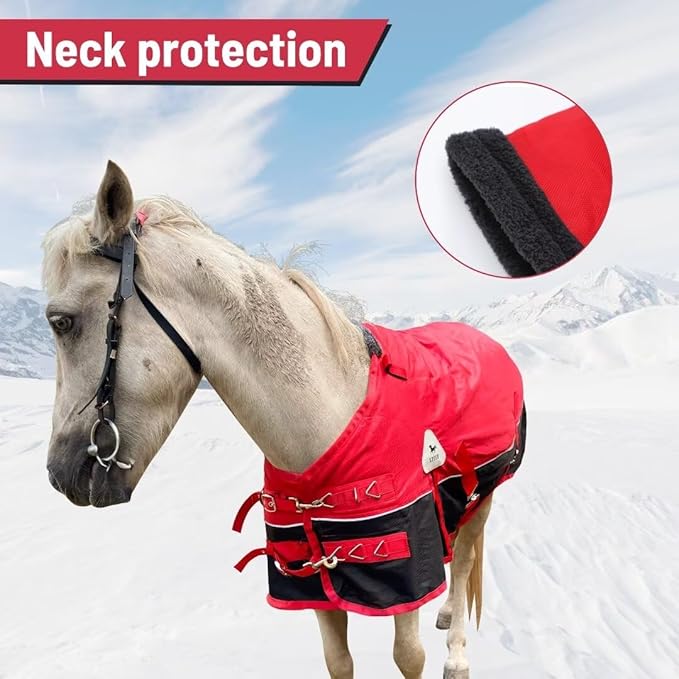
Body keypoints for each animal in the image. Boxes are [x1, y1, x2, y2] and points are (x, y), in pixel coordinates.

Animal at [42, 160, 526, 679]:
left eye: (61, 321)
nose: (57, 473)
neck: (331, 420)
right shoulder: (313, 578)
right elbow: (338, 660)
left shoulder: (403, 570)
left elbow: (408, 656)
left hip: (484, 493)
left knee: (463, 561)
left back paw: (457, 653)